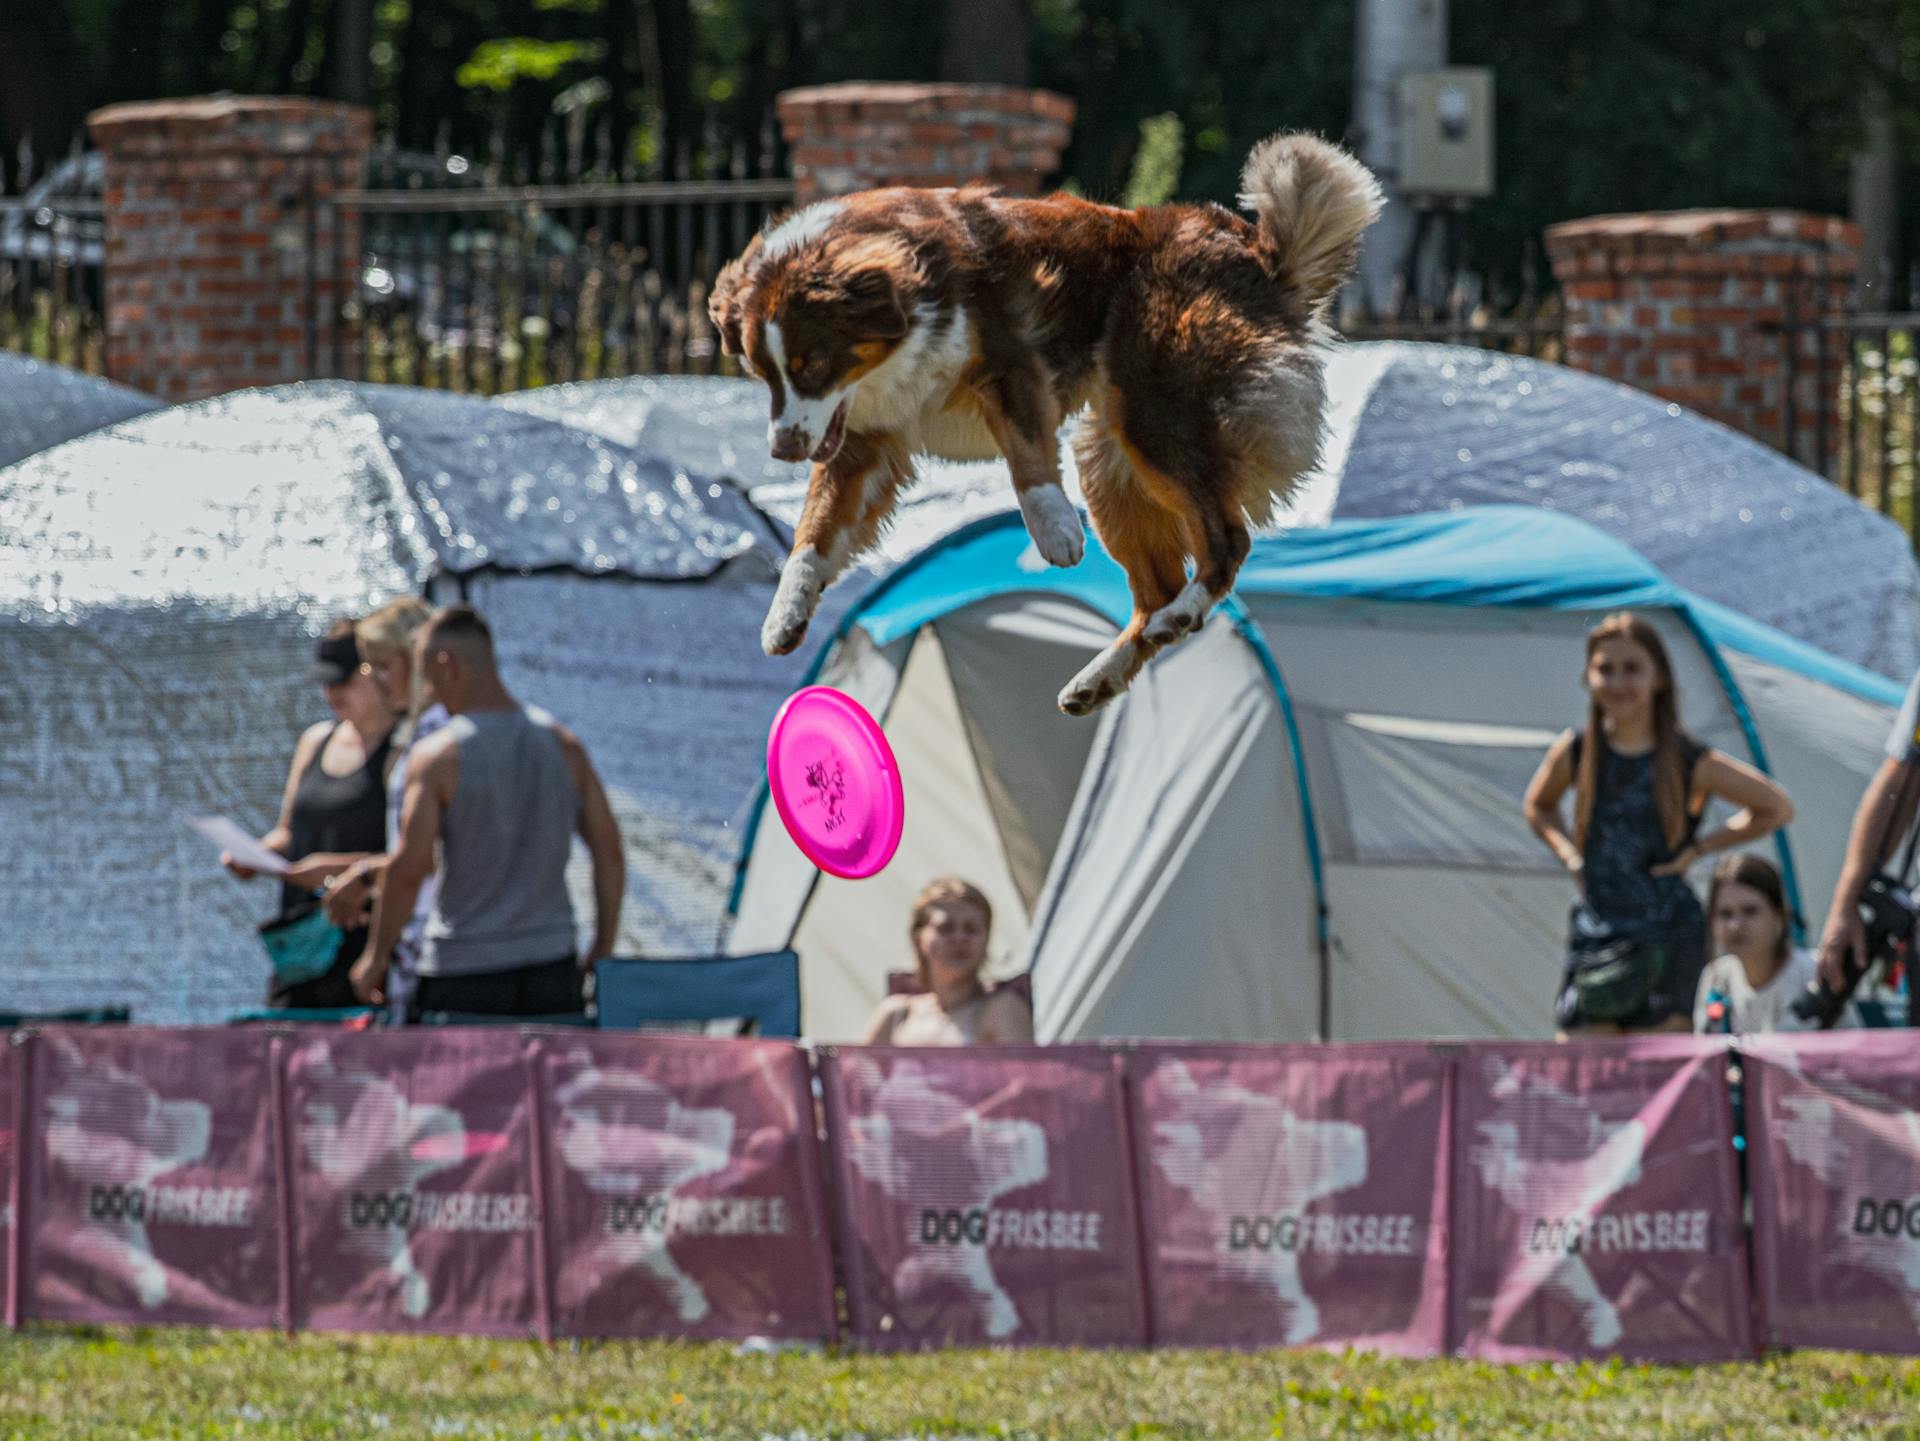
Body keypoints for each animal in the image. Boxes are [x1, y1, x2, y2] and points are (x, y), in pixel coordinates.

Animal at [706, 135, 1382, 717]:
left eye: (814, 363)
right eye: (762, 372)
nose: (783, 449)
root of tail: (1259, 256)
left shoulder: (1010, 360)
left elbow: (1026, 456)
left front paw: (1054, 530)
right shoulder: (864, 439)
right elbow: (814, 531)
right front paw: (785, 614)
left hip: (1154, 413)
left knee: (1226, 543)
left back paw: (1177, 614)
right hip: (1108, 458)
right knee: (1159, 588)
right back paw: (1100, 676)